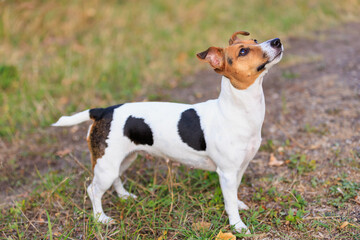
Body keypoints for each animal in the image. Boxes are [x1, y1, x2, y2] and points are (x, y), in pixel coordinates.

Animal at [52, 31, 284, 233]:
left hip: (122, 159)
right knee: (93, 191)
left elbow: (234, 193)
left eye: (256, 40)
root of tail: (103, 111)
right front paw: (238, 226)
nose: (277, 41)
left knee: (116, 178)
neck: (236, 110)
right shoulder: (226, 173)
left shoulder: (240, 167)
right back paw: (101, 218)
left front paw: (238, 203)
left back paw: (124, 196)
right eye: (243, 51)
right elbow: (229, 203)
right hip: (106, 166)